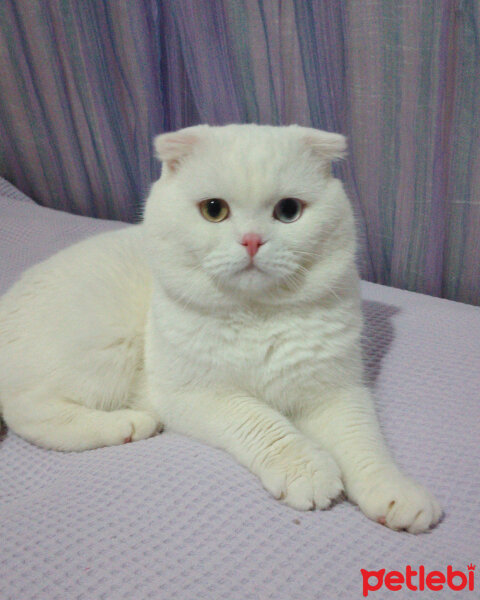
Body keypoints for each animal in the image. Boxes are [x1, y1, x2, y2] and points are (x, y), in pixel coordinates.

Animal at [0, 124, 442, 532]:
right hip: (105, 347)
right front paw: (308, 470)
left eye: (288, 211)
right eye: (214, 210)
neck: (258, 317)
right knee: (32, 413)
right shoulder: (197, 395)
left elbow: (364, 444)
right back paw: (130, 424)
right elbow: (265, 424)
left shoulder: (336, 391)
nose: (252, 240)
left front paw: (396, 493)